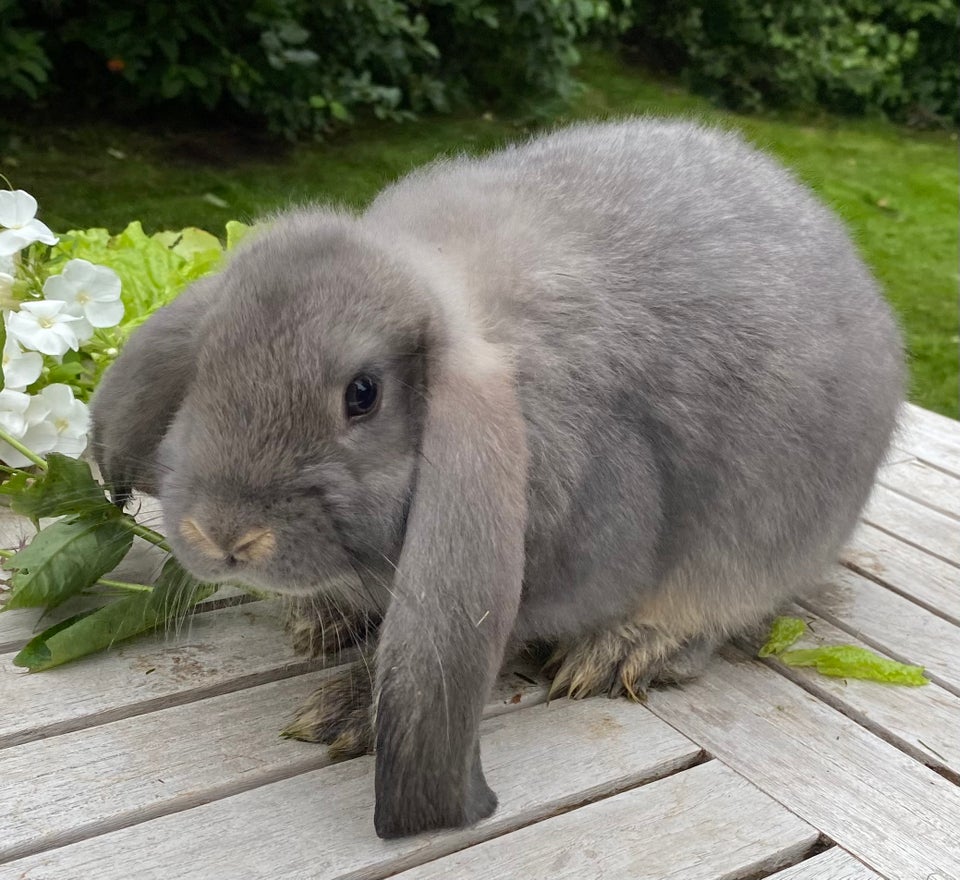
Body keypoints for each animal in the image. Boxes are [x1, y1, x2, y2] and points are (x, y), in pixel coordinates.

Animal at [88, 118, 900, 840]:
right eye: (206, 366)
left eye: (362, 393)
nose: (224, 535)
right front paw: (321, 622)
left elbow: (498, 642)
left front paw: (345, 712)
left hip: (755, 549)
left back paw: (618, 654)